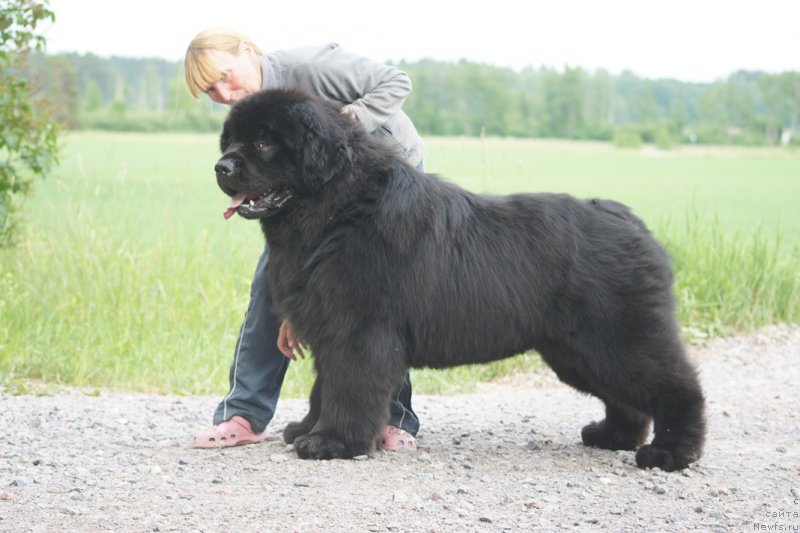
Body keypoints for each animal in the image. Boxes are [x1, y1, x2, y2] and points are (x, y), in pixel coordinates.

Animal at [214, 87, 708, 470]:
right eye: (232, 140)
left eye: (264, 142)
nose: (221, 166)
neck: (337, 209)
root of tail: (630, 220)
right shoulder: (331, 329)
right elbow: (323, 388)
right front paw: (307, 429)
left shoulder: (359, 333)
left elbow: (347, 388)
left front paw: (332, 442)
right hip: (576, 351)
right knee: (625, 396)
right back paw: (612, 436)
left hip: (617, 338)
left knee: (677, 386)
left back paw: (669, 453)